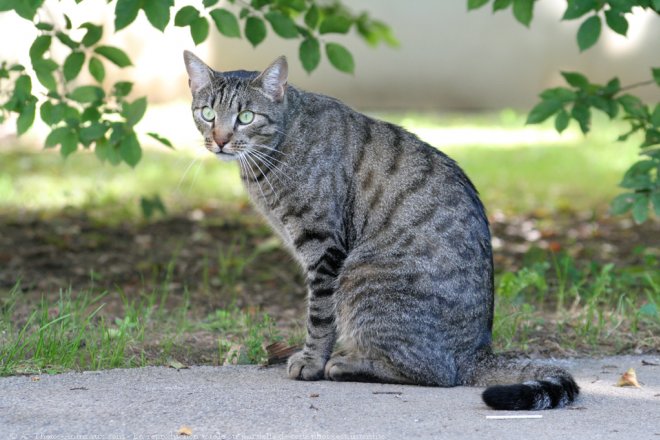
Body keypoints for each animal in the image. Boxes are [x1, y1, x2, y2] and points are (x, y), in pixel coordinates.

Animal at [182, 50, 576, 410]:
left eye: (246, 117)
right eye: (207, 114)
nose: (220, 139)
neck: (277, 148)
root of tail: (478, 352)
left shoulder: (322, 246)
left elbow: (320, 316)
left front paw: (311, 361)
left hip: (361, 275)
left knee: (436, 374)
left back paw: (347, 364)